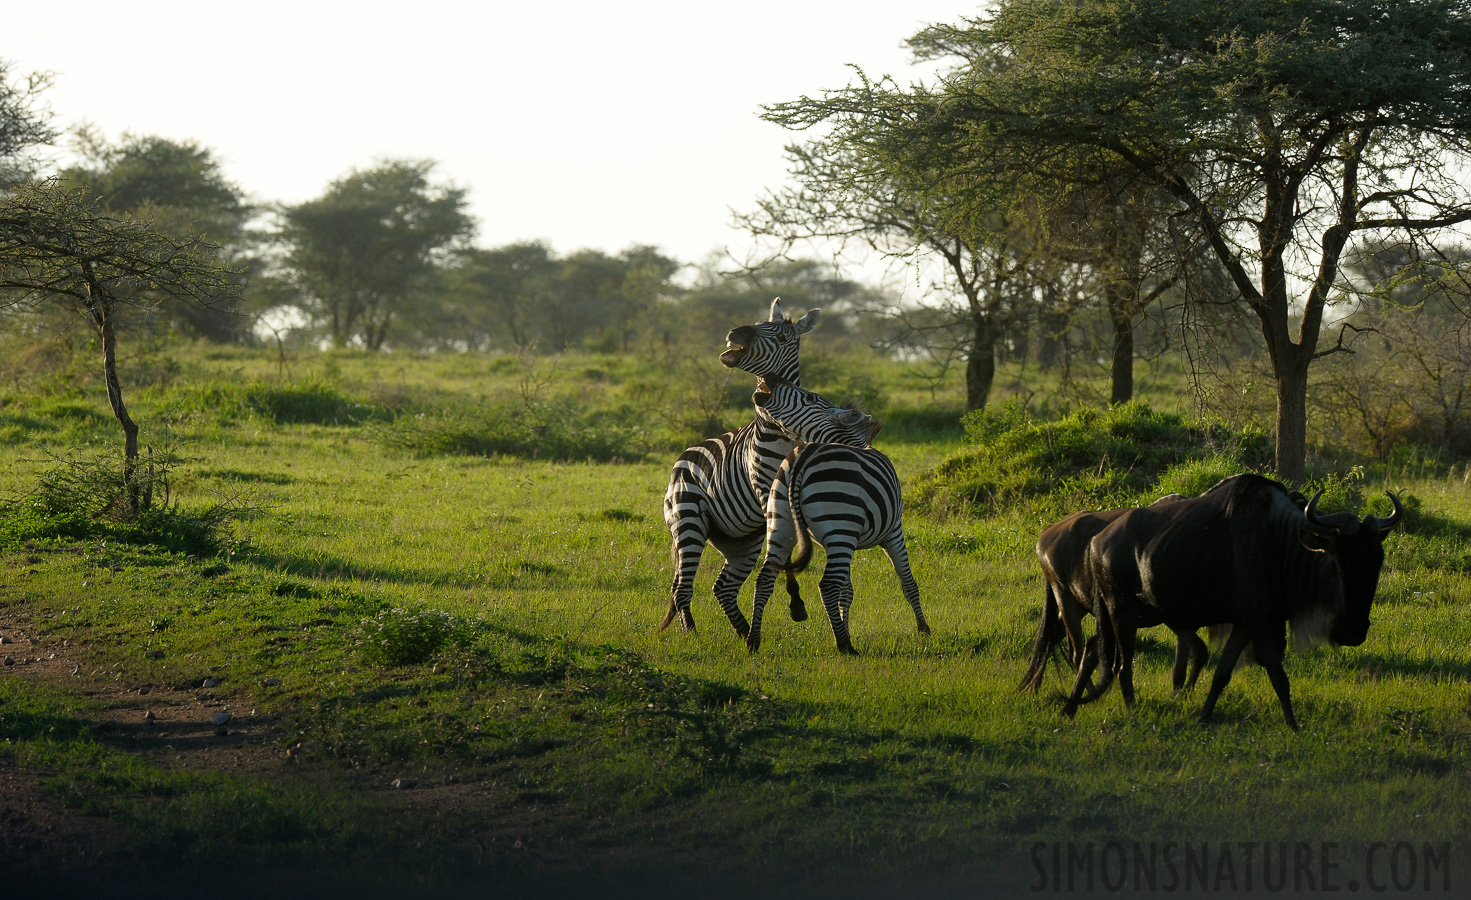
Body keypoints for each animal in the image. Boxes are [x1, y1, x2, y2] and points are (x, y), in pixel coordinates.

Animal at [747, 438, 929, 652]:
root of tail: (801, 459)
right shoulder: (893, 533)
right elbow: (908, 582)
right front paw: (923, 628)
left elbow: (847, 593)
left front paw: (844, 627)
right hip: (841, 526)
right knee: (828, 586)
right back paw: (845, 646)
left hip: (782, 523)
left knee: (764, 579)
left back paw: (753, 640)